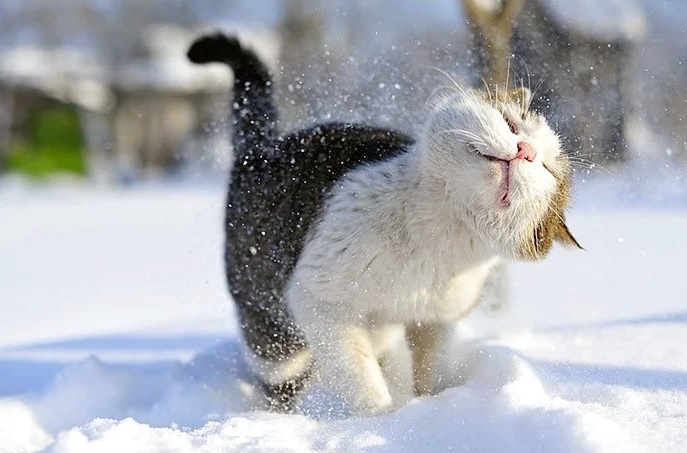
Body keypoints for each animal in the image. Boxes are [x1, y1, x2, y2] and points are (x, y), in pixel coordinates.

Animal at [187, 30, 580, 414]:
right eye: (511, 125)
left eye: (546, 168)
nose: (525, 151)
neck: (439, 231)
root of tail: (260, 150)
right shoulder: (318, 301)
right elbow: (358, 375)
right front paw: (381, 420)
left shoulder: (435, 320)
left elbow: (431, 370)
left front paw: (428, 408)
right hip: (273, 333)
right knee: (282, 379)